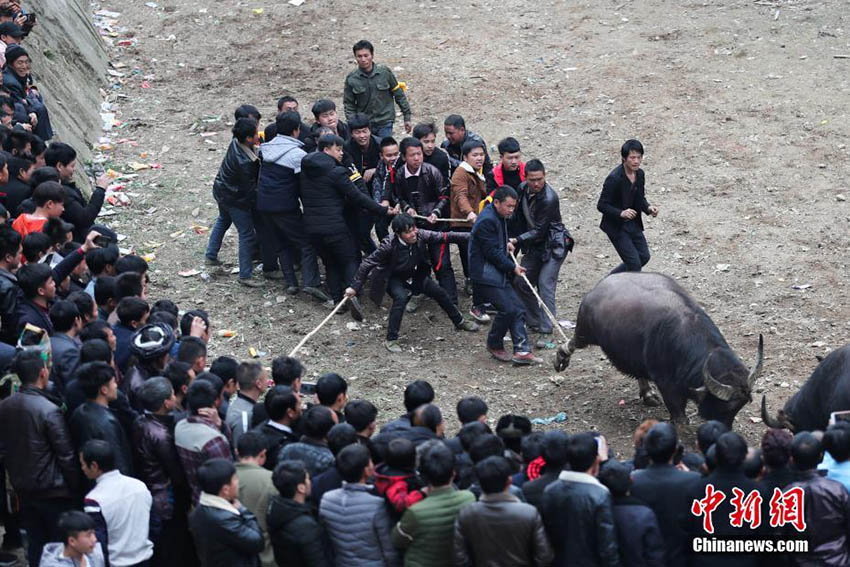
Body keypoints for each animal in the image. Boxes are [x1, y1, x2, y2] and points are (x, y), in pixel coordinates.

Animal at [560, 272, 764, 426]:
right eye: (724, 408)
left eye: (738, 408)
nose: (724, 428)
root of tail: (596, 289)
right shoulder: (667, 386)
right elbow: (680, 419)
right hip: (585, 331)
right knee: (572, 343)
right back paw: (560, 359)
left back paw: (648, 394)